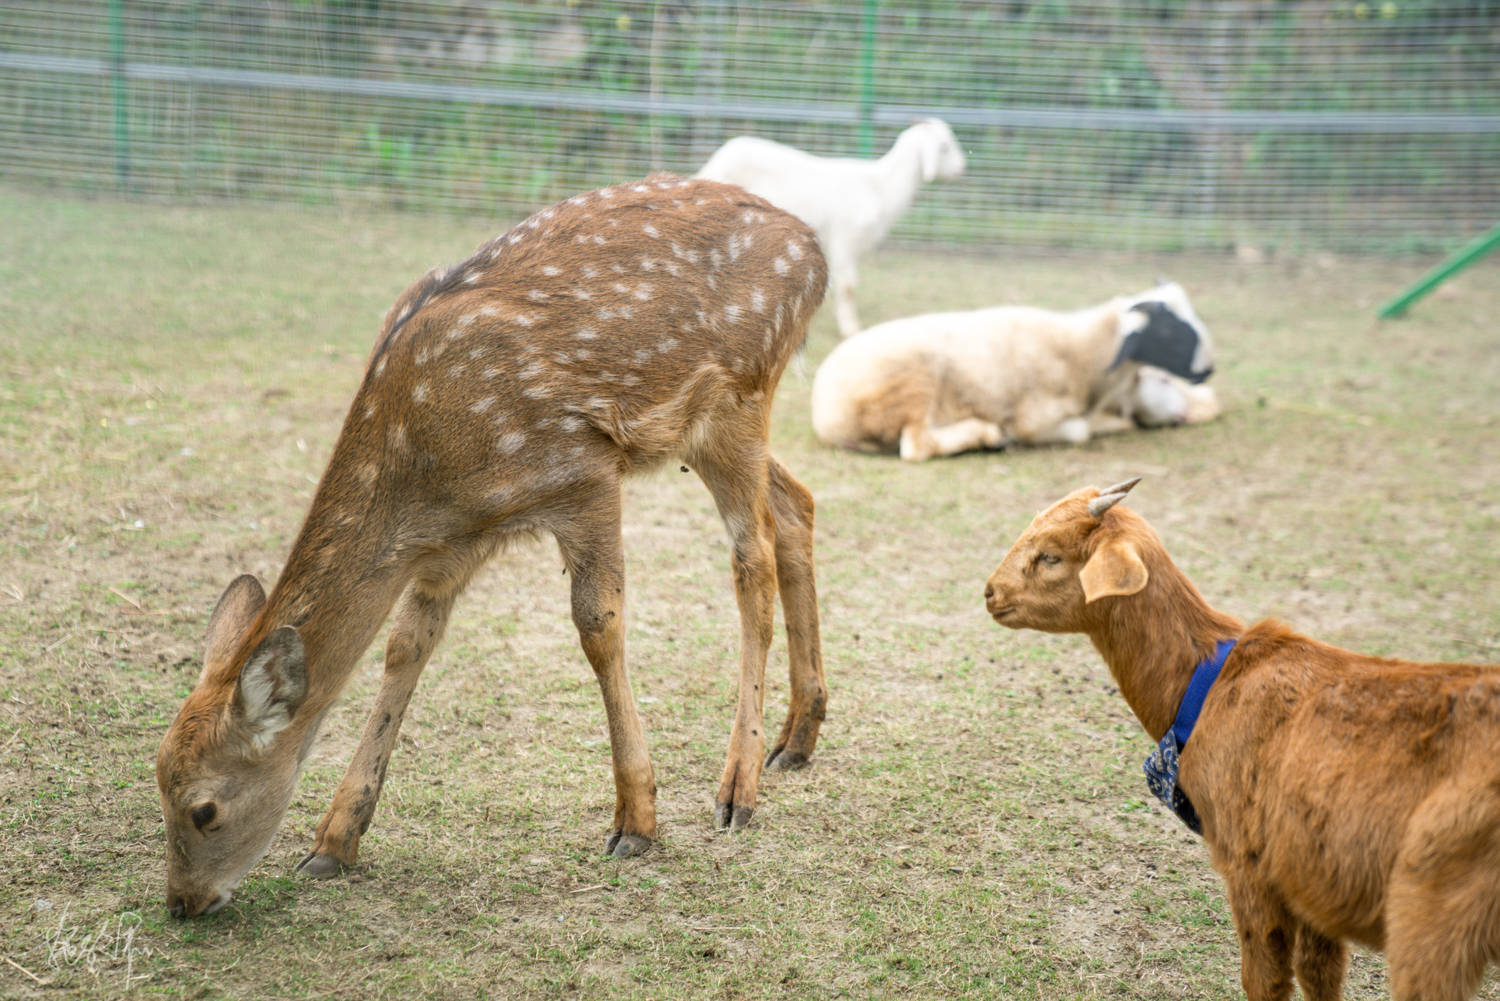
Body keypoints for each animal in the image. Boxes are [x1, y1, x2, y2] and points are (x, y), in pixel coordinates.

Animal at [156, 172, 834, 918]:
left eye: (204, 809)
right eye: (158, 783)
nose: (182, 902)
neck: (425, 470)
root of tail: (813, 249)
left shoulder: (582, 470)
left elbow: (598, 626)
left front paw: (636, 822)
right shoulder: (452, 547)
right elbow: (406, 647)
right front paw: (334, 841)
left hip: (739, 394)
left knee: (752, 558)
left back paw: (737, 789)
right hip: (703, 431)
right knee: (797, 505)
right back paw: (796, 740)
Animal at [696, 119, 966, 339]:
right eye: (944, 147)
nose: (961, 169)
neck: (879, 187)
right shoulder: (845, 238)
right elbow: (848, 285)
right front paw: (850, 328)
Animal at [810, 282, 1218, 462]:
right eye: (1171, 331)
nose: (1210, 368)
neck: (1081, 351)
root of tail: (823, 413)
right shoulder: (1034, 419)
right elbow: (1079, 431)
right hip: (913, 382)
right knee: (916, 446)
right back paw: (988, 435)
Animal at [984, 477, 1500, 1001]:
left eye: (1050, 555)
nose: (990, 592)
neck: (1209, 681)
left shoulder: (1250, 866)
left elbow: (1265, 978)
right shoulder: (1311, 881)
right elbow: (1320, 973)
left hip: (1434, 913)